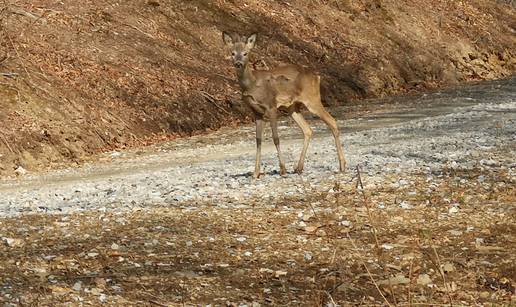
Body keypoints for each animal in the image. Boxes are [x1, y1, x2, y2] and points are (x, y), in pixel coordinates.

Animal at [222, 31, 346, 179]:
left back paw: (342, 165)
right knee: (307, 130)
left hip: (312, 99)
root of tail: (317, 77)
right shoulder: (256, 112)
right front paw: (256, 172)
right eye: (233, 53)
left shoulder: (271, 106)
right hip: (292, 107)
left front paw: (282, 169)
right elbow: (258, 140)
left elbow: (276, 138)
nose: (238, 63)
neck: (251, 85)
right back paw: (299, 168)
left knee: (332, 121)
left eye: (246, 53)